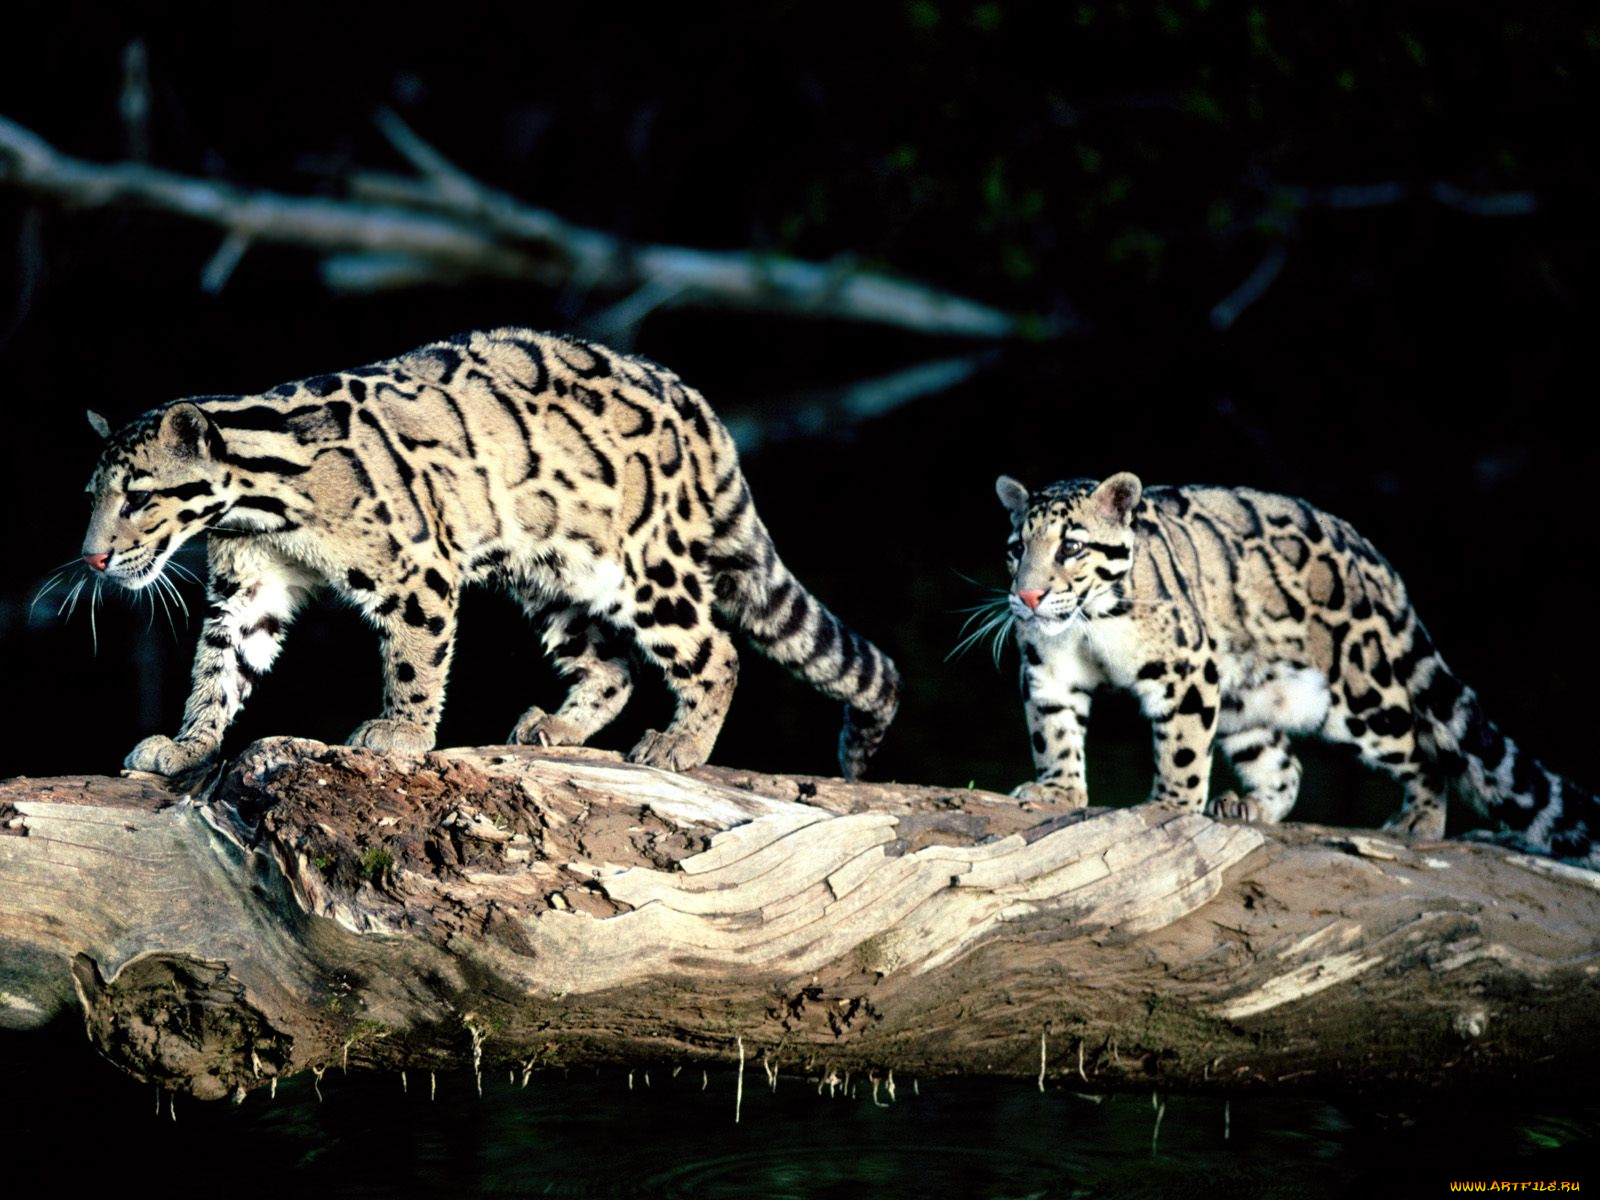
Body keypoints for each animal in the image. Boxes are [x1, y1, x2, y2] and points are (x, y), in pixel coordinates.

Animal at [77, 328, 901, 780]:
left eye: (139, 497)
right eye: (93, 494)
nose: (92, 560)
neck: (260, 500)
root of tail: (702, 413)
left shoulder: (416, 567)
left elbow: (414, 660)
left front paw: (402, 734)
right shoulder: (248, 588)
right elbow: (218, 670)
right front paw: (189, 745)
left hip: (646, 564)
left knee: (715, 650)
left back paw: (681, 744)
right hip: (555, 575)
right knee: (613, 666)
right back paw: (558, 728)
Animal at [974, 470, 1597, 867]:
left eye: (1072, 547)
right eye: (1015, 548)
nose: (1026, 597)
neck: (1086, 625)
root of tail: (1377, 560)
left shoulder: (1188, 668)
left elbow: (1182, 751)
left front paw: (1169, 808)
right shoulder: (1047, 669)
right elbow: (1053, 731)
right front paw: (1056, 791)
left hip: (1360, 699)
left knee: (1424, 749)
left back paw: (1416, 821)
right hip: (1245, 701)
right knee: (1284, 766)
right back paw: (1246, 804)